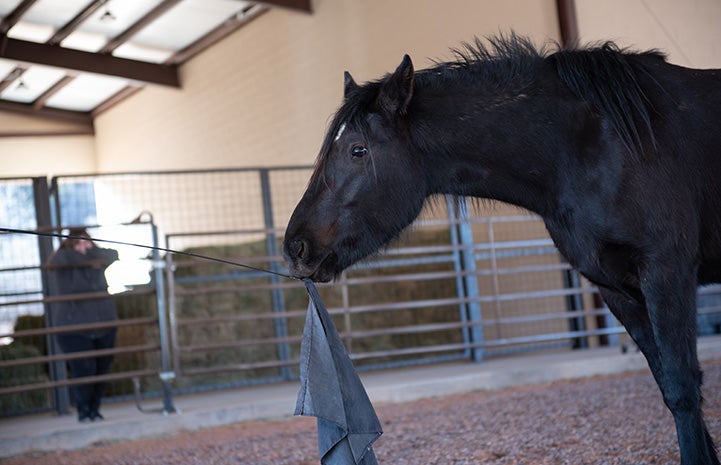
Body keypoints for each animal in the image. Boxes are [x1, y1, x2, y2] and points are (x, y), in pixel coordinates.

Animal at [284, 34, 720, 462]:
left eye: (357, 150)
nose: (295, 247)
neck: (596, 144)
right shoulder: (619, 292)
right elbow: (667, 386)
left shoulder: (666, 275)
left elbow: (683, 388)